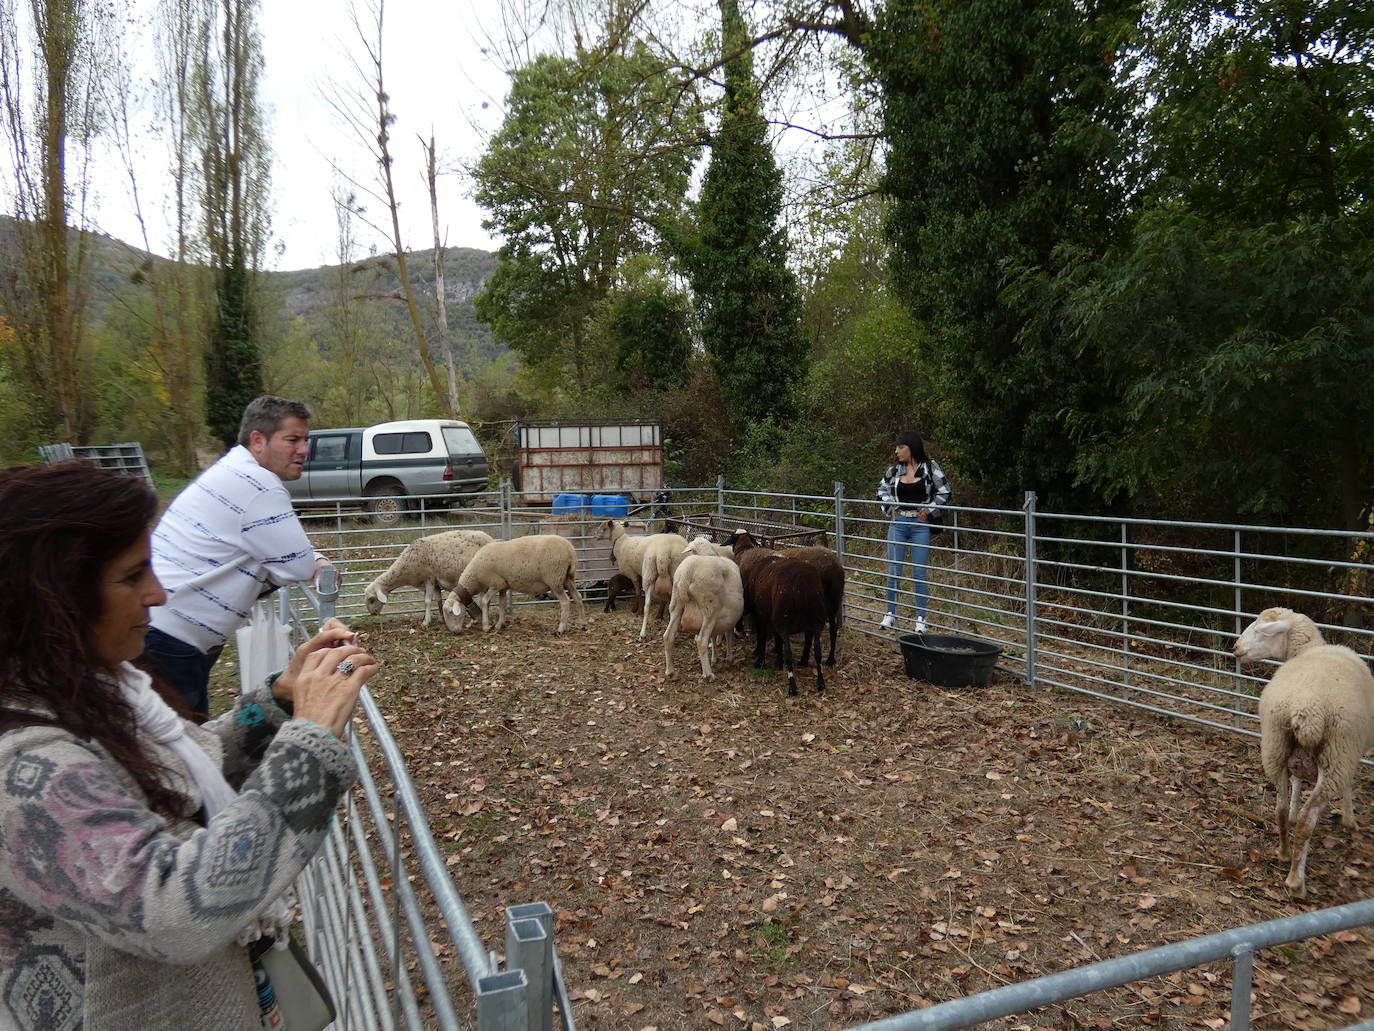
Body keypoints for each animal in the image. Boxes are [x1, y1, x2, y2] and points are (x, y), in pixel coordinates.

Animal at [365, 533, 494, 629]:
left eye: (371, 600)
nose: (372, 614)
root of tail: (491, 539)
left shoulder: (429, 579)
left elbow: (427, 602)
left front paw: (426, 622)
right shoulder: (435, 583)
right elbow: (438, 601)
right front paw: (442, 619)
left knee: (483, 599)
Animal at [442, 536, 588, 635]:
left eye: (450, 612)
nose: (454, 632)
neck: (475, 576)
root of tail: (570, 550)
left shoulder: (496, 584)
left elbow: (484, 602)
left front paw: (486, 626)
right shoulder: (503, 585)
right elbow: (501, 604)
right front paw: (499, 625)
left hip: (555, 579)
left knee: (565, 602)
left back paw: (561, 628)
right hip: (568, 578)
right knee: (578, 597)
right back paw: (582, 624)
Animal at [662, 536, 747, 681]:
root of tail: (688, 572)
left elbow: (713, 637)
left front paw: (714, 658)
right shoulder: (729, 618)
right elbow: (728, 635)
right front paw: (729, 658)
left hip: (676, 602)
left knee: (668, 636)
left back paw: (670, 670)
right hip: (710, 608)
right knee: (701, 640)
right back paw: (708, 674)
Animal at [1236, 610, 1374, 901]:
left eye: (1262, 631)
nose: (1236, 649)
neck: (1308, 649)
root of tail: (1305, 708)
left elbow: (1297, 781)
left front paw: (1293, 807)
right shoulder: (1351, 752)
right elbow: (1349, 784)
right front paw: (1350, 820)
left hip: (1275, 746)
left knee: (1278, 807)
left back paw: (1284, 851)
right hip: (1336, 754)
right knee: (1307, 821)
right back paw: (1296, 881)